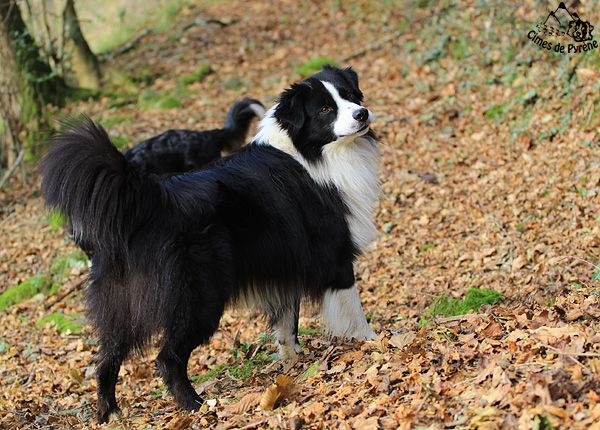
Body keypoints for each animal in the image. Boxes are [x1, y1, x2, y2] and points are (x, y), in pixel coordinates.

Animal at [39, 66, 380, 424]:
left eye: (350, 95)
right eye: (325, 109)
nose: (362, 113)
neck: (310, 153)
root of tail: (146, 203)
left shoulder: (287, 262)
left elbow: (288, 322)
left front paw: (292, 363)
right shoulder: (335, 256)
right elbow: (353, 311)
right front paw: (371, 344)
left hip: (122, 305)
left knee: (106, 358)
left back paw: (108, 414)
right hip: (199, 299)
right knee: (167, 358)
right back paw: (195, 406)